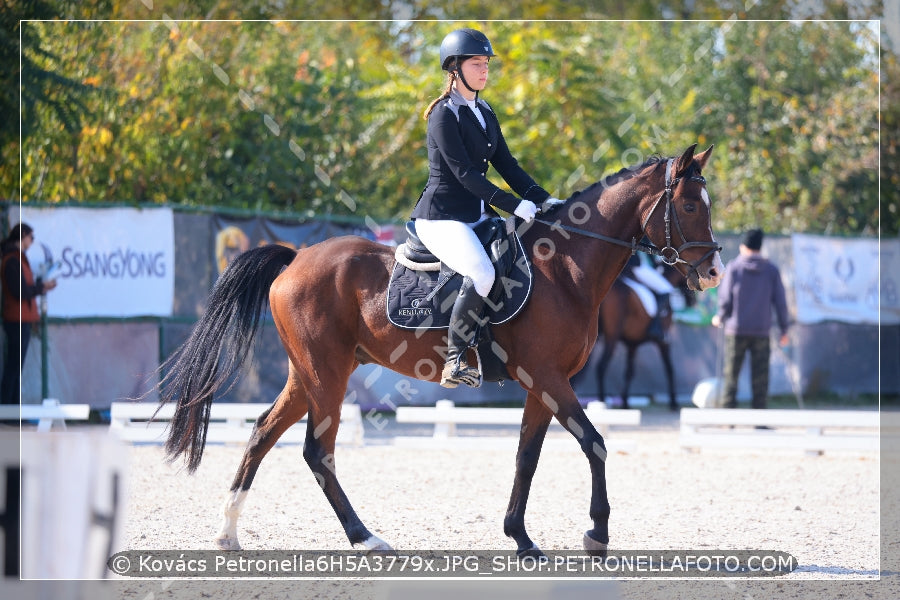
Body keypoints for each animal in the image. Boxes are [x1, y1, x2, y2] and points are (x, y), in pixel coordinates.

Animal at [151, 143, 720, 556]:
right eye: (690, 205)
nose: (713, 271)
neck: (564, 269)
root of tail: (296, 257)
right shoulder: (549, 378)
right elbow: (595, 443)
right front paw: (596, 534)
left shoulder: (542, 384)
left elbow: (526, 457)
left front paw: (520, 537)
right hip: (326, 374)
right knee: (317, 451)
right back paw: (365, 538)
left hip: (308, 374)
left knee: (263, 434)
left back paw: (228, 533)